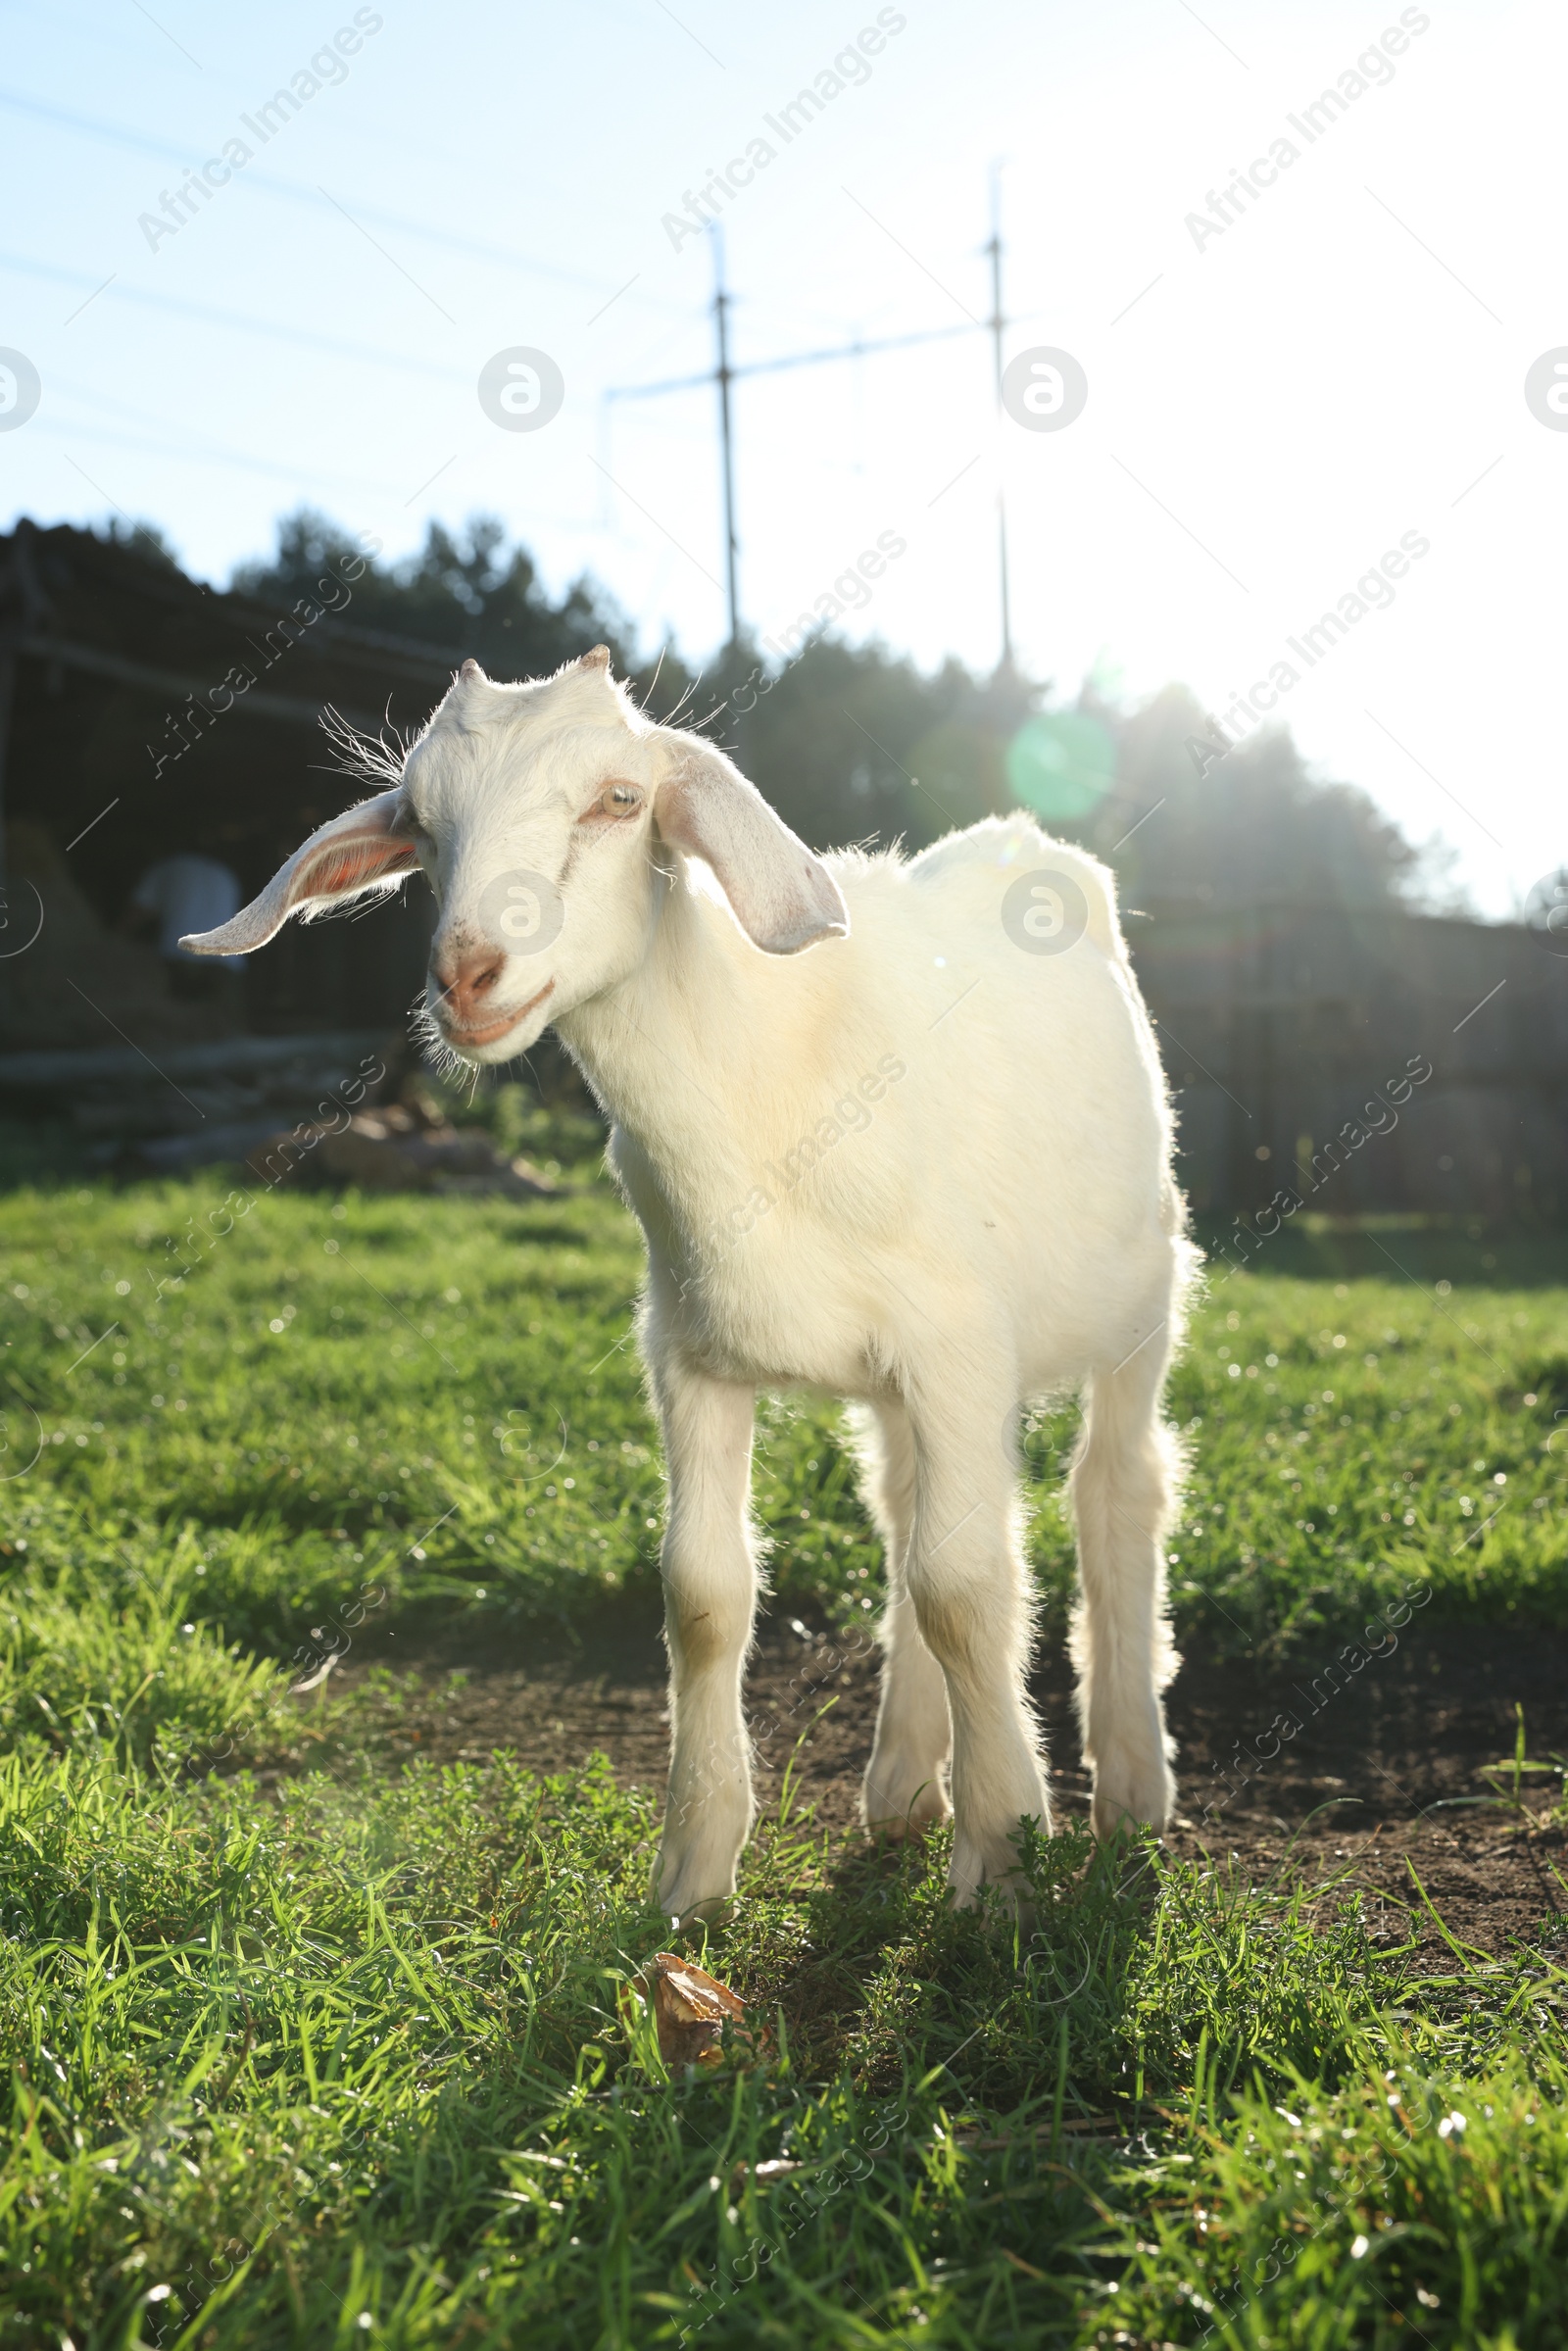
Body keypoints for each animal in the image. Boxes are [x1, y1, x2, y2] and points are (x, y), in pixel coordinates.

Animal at [190, 653, 1194, 1918]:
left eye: (620, 800)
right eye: (420, 821)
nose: (466, 974)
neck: (768, 1082)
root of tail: (1020, 841)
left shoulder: (957, 1341)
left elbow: (967, 1585)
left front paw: (1003, 1859)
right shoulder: (691, 1351)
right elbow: (706, 1593)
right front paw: (694, 1871)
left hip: (1141, 1300)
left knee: (1117, 1491)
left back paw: (1129, 1787)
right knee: (905, 1508)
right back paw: (903, 1782)